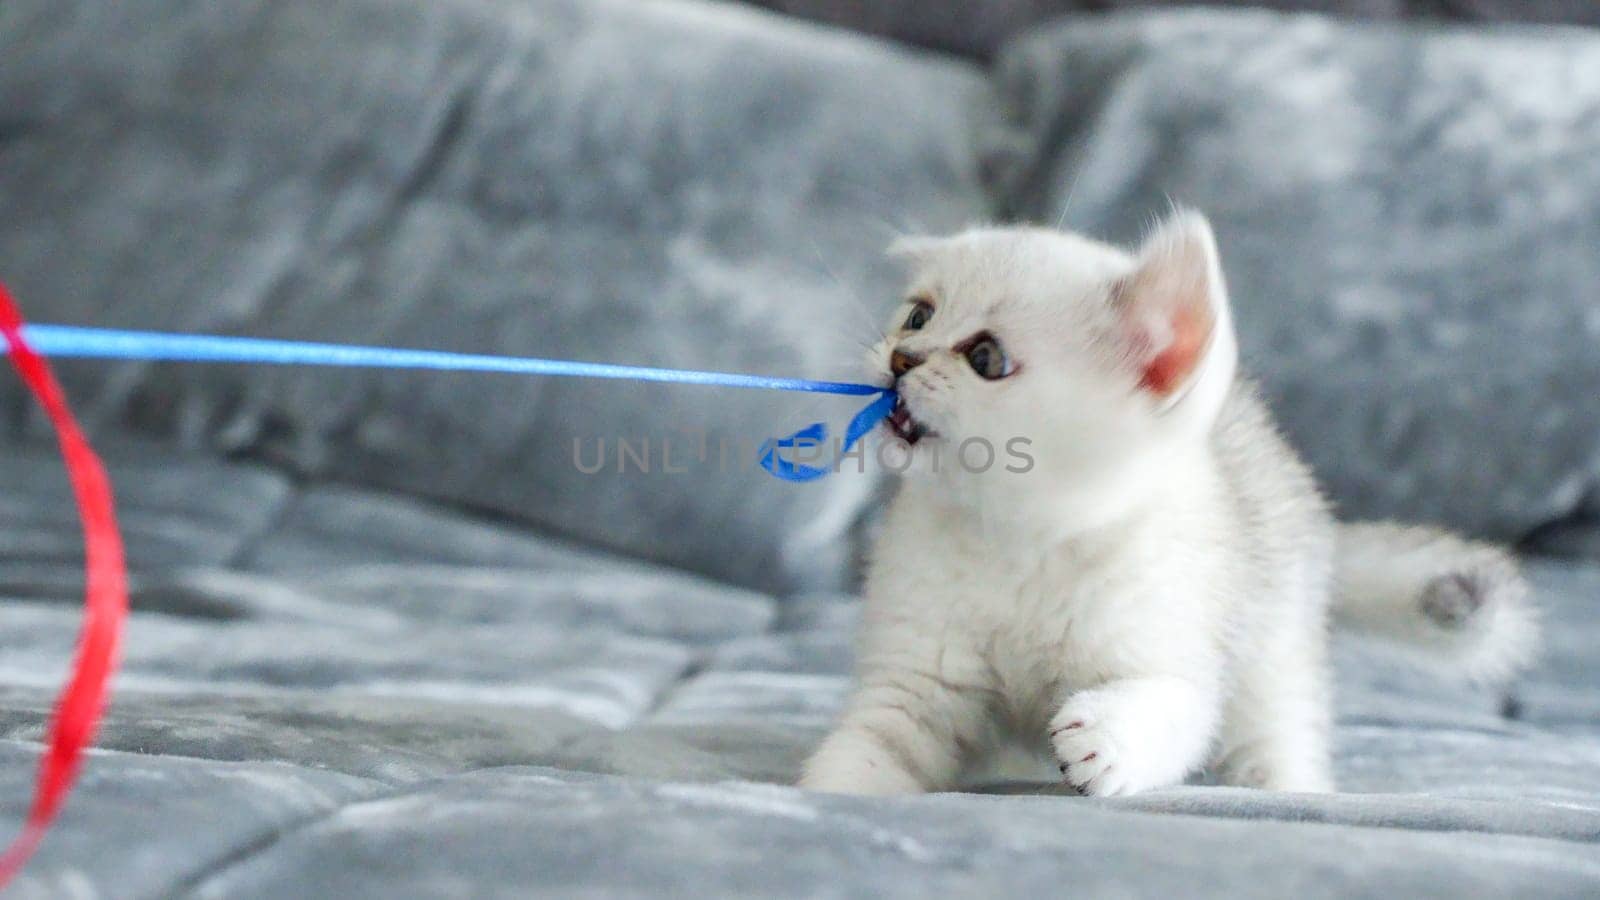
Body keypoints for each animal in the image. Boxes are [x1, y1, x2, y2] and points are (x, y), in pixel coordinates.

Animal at [800, 209, 1536, 791]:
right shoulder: (917, 683)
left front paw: (1105, 735)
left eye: (986, 357)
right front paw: (832, 799)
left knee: (1277, 739)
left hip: (1272, 653)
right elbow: (870, 749)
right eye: (917, 315)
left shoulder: (1172, 643)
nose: (901, 358)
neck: (1020, 541)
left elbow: (1174, 707)